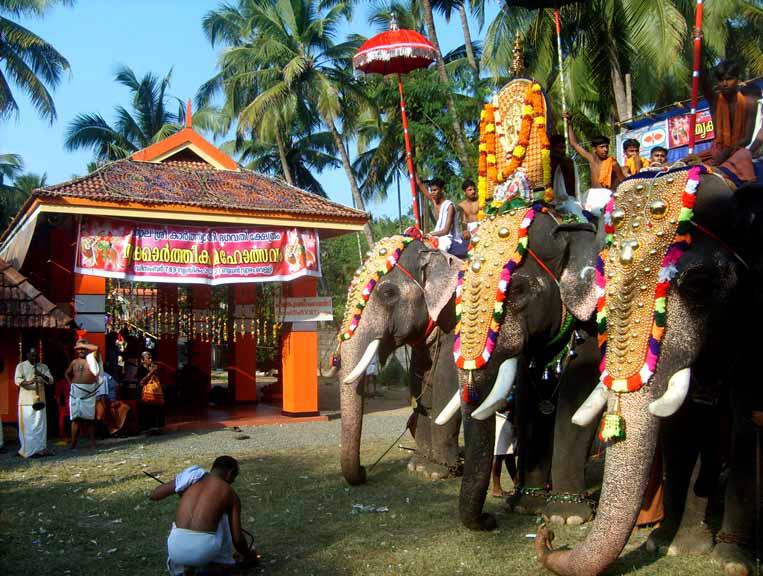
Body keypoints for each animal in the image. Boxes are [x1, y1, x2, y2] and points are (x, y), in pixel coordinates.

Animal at [340, 236, 466, 484]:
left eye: (388, 293)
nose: (364, 469)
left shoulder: (456, 319)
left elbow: (446, 380)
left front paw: (435, 472)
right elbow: (421, 381)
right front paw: (418, 467)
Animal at [536, 166, 760, 576]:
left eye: (699, 286)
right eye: (601, 283)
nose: (547, 537)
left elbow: (746, 423)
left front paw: (731, 561)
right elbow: (683, 426)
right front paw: (672, 545)